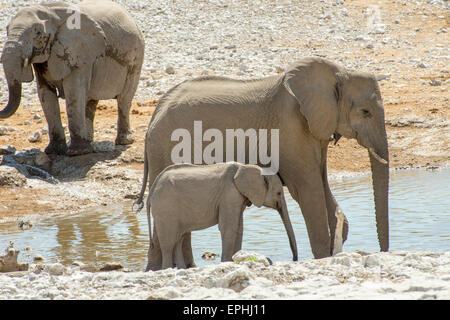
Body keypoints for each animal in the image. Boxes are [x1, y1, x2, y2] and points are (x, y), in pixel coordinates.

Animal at [0, 0, 144, 155]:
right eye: (7, 30)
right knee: (90, 101)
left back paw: (123, 141)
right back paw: (89, 141)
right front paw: (54, 151)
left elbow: (74, 92)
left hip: (136, 57)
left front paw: (77, 152)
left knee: (124, 99)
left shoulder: (80, 52)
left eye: (38, 32)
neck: (49, 10)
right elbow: (45, 94)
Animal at [146, 162, 298, 270]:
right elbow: (228, 227)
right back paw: (167, 269)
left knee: (178, 238)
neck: (246, 167)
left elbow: (238, 228)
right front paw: (226, 263)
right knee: (169, 242)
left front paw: (235, 259)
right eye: (279, 193)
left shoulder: (237, 197)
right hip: (165, 207)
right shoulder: (229, 194)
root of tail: (152, 190)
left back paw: (181, 269)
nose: (295, 259)